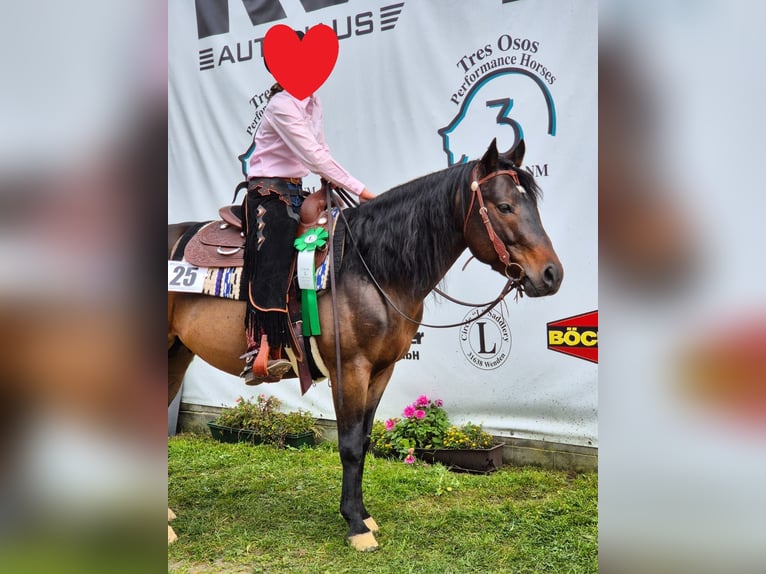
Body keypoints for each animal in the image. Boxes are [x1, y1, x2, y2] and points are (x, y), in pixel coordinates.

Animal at [167, 138, 563, 551]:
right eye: (504, 207)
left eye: (532, 205)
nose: (551, 274)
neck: (371, 267)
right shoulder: (350, 368)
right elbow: (351, 444)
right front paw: (356, 526)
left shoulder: (381, 369)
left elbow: (366, 438)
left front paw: (363, 515)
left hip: (177, 353)